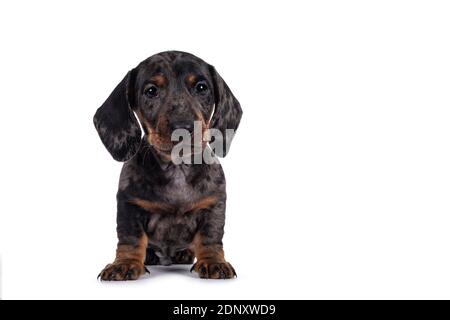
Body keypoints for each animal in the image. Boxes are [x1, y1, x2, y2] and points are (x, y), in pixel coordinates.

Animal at [93, 50, 243, 280]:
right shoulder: (129, 205)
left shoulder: (213, 205)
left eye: (201, 87)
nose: (182, 128)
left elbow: (210, 237)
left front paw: (213, 261)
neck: (177, 168)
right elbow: (131, 239)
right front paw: (125, 264)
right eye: (151, 91)